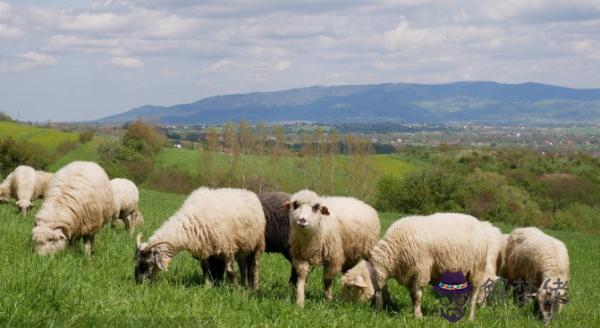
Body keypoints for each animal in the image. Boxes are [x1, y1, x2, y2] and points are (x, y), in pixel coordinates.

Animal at [137, 186, 268, 290]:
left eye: (146, 263)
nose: (138, 282)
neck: (190, 222)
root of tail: (247, 191)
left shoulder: (227, 246)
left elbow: (230, 271)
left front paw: (236, 289)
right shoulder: (203, 248)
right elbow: (205, 269)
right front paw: (207, 286)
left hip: (257, 243)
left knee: (255, 266)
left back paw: (254, 288)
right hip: (243, 245)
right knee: (243, 265)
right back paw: (245, 285)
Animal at [340, 213, 490, 320]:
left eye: (349, 287)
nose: (345, 308)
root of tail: (478, 222)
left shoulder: (420, 271)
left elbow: (417, 297)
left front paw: (418, 317)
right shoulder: (409, 275)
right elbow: (412, 297)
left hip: (476, 269)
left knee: (474, 294)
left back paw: (470, 318)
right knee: (460, 295)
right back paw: (456, 314)